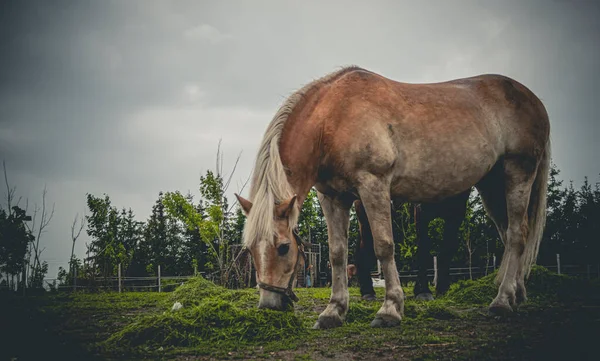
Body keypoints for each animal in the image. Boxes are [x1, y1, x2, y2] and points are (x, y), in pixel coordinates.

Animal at [233, 65, 548, 330]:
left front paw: (390, 309)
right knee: (508, 234)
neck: (333, 119)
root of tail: (533, 100)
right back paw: (516, 294)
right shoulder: (332, 197)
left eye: (284, 247)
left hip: (518, 172)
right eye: (249, 249)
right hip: (491, 185)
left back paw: (502, 301)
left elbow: (384, 246)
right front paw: (334, 311)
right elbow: (337, 253)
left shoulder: (373, 185)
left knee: (517, 235)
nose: (269, 305)